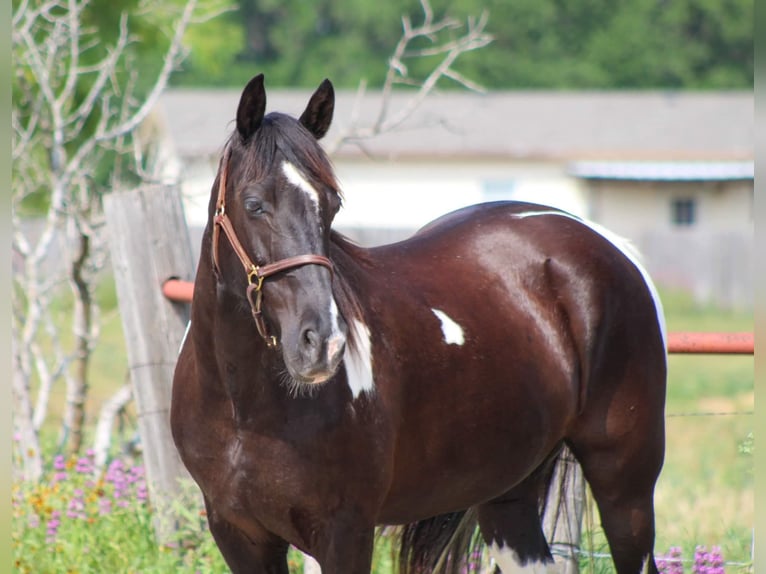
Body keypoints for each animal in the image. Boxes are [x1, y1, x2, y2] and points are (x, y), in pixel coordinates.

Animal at [171, 74, 668, 572]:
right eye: (254, 204)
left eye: (332, 205)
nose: (322, 343)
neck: (245, 409)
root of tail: (604, 240)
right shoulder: (238, 534)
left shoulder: (344, 531)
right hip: (508, 493)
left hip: (625, 487)